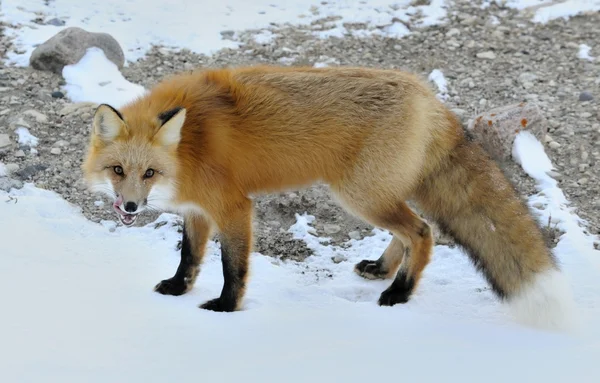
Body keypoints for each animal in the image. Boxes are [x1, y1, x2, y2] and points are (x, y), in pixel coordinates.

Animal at [82, 64, 576, 332]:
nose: (130, 207)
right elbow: (190, 257)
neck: (190, 145)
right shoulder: (198, 209)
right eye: (118, 171)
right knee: (413, 230)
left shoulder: (234, 206)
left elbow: (232, 267)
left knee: (422, 231)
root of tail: (429, 98)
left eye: (149, 173)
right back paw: (382, 270)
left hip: (360, 196)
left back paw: (399, 293)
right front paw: (177, 289)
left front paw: (225, 308)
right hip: (378, 193)